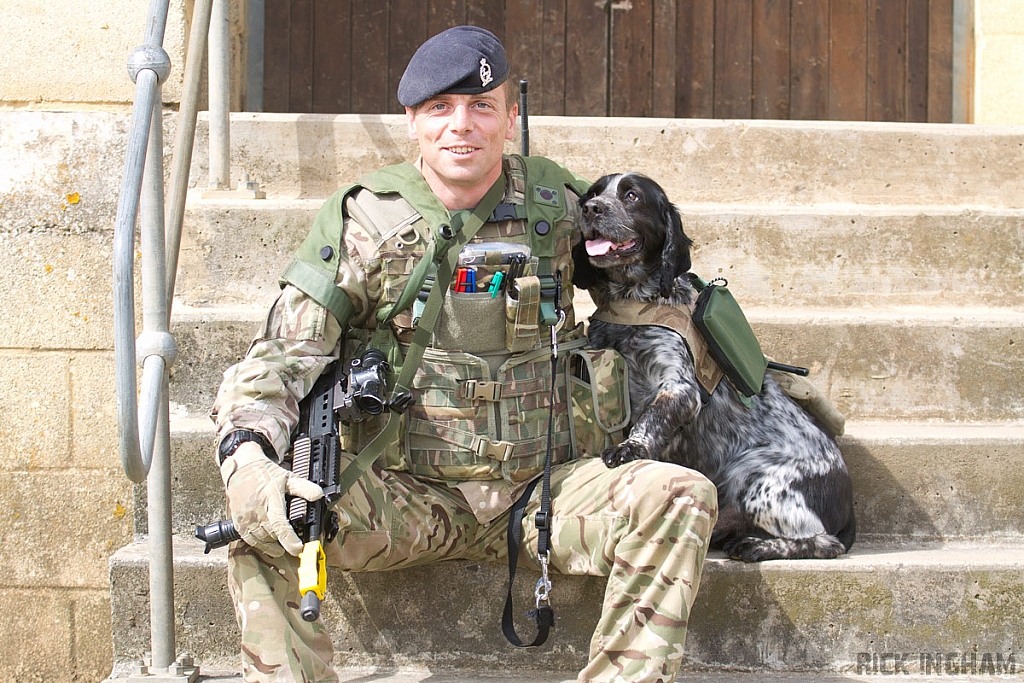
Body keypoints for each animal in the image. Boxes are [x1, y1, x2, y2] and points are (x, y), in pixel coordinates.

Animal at [577, 174, 856, 565]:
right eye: (593, 193)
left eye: (631, 195)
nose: (591, 209)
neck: (632, 303)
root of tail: (848, 506)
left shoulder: (680, 387)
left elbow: (651, 418)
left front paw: (629, 448)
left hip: (758, 478)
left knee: (825, 542)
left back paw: (756, 546)